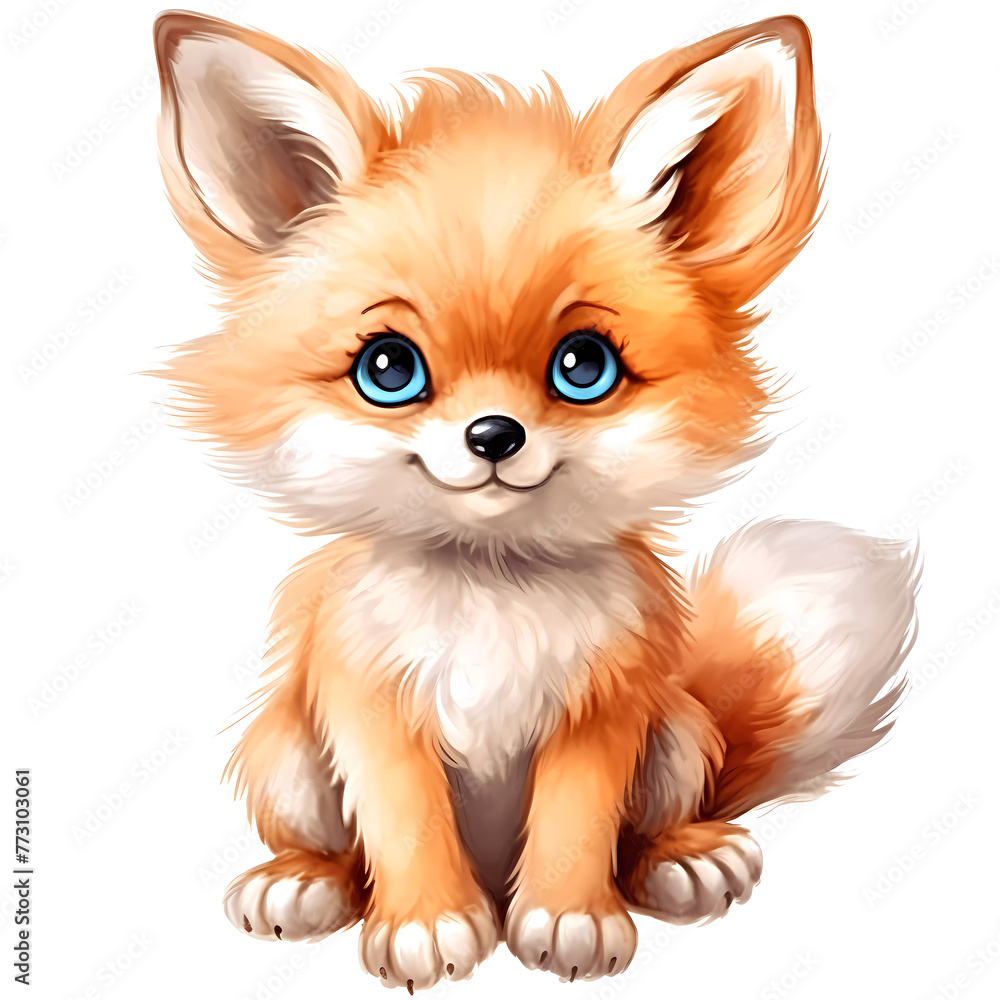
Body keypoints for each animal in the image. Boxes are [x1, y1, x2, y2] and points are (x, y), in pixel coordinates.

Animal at [153, 10, 918, 990]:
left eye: (583, 366)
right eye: (389, 369)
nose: (493, 436)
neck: (491, 596)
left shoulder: (602, 711)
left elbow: (576, 826)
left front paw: (568, 920)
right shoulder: (371, 709)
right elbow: (404, 823)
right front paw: (428, 925)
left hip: (674, 734)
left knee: (653, 828)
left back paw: (681, 861)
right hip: (285, 754)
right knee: (334, 849)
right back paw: (305, 882)